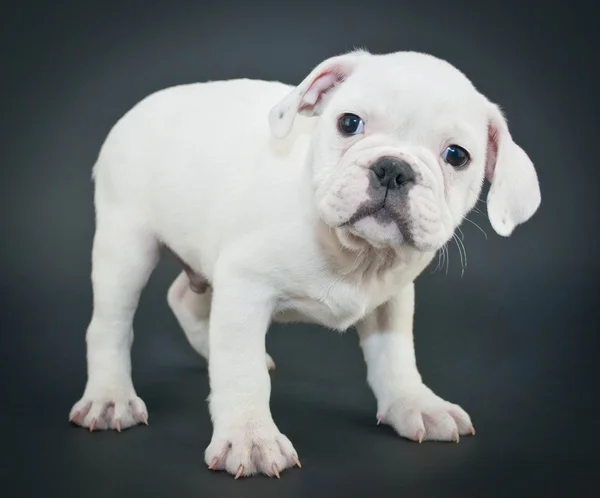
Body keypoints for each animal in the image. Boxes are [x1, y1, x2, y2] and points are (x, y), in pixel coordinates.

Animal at [69, 49, 540, 478]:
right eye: (349, 123)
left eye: (457, 156)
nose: (393, 168)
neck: (355, 252)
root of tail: (142, 107)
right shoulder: (244, 287)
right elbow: (241, 370)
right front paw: (250, 436)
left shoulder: (390, 299)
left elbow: (395, 356)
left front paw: (415, 404)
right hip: (126, 245)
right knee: (110, 325)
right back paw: (109, 397)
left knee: (184, 298)